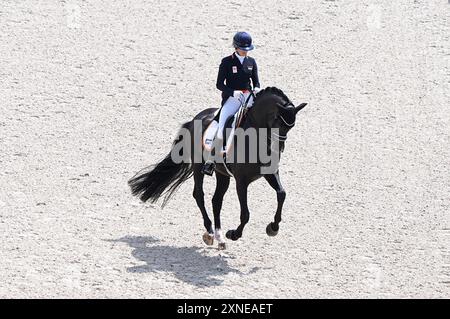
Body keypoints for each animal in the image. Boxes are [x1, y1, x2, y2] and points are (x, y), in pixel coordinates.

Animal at [128, 87, 308, 250]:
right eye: (277, 120)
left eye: (291, 126)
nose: (278, 148)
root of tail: (195, 119)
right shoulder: (241, 181)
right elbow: (245, 214)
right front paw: (234, 234)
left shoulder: (270, 173)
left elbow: (282, 194)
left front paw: (273, 228)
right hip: (198, 166)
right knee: (199, 195)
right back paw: (210, 232)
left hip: (222, 174)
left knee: (216, 200)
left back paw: (219, 237)